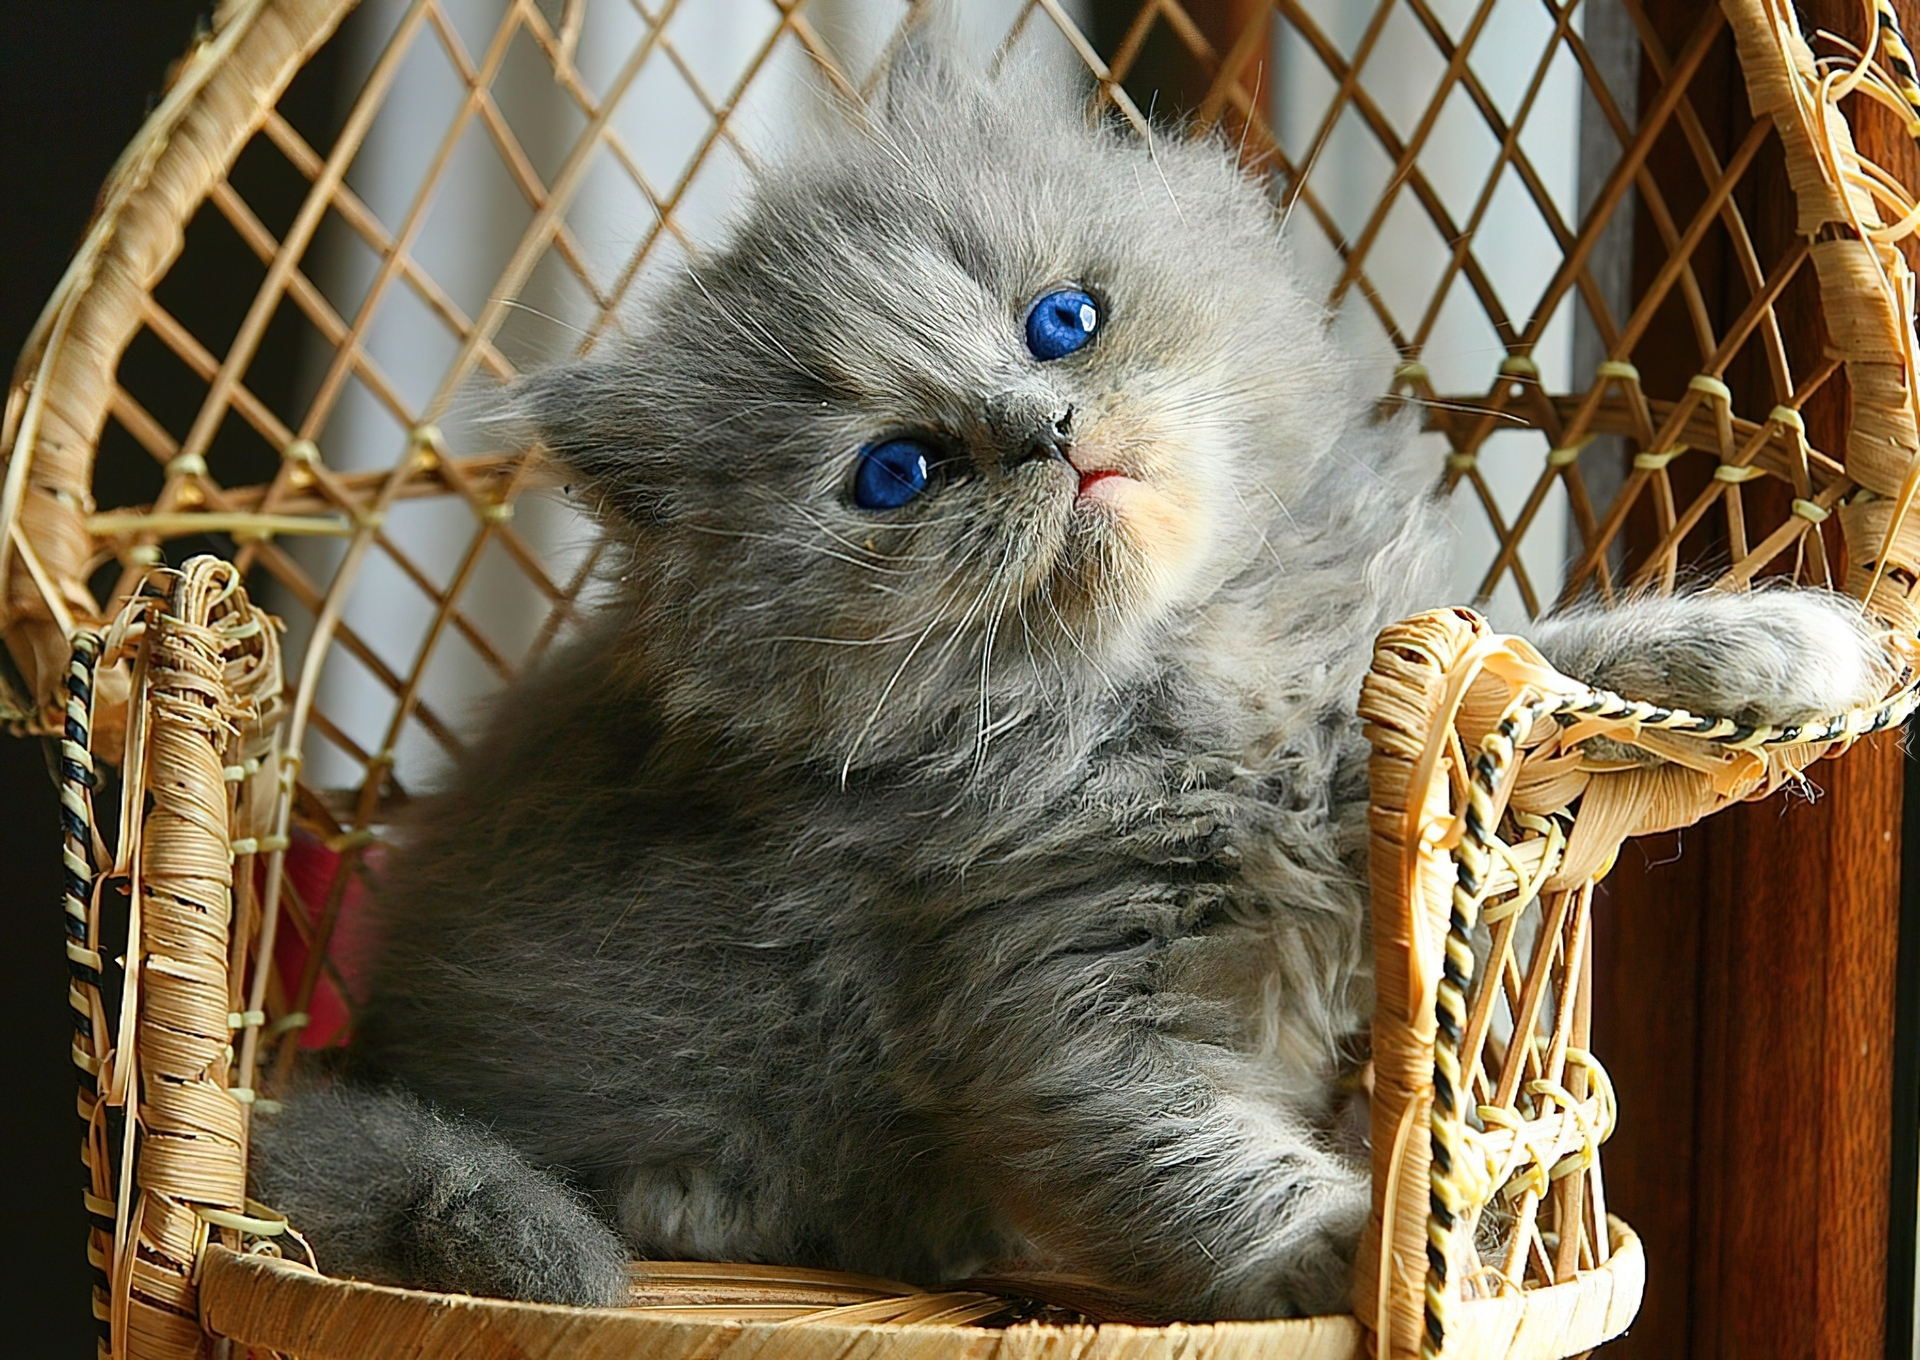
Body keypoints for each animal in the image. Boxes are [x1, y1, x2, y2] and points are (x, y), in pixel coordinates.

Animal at [247, 29, 1891, 1321]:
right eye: (898, 471)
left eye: (1063, 319)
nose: (1045, 432)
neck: (1184, 684)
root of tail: (370, 1047)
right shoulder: (1045, 996)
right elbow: (1190, 1167)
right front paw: (1357, 1247)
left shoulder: (1371, 749)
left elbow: (1534, 650)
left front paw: (1761, 643)